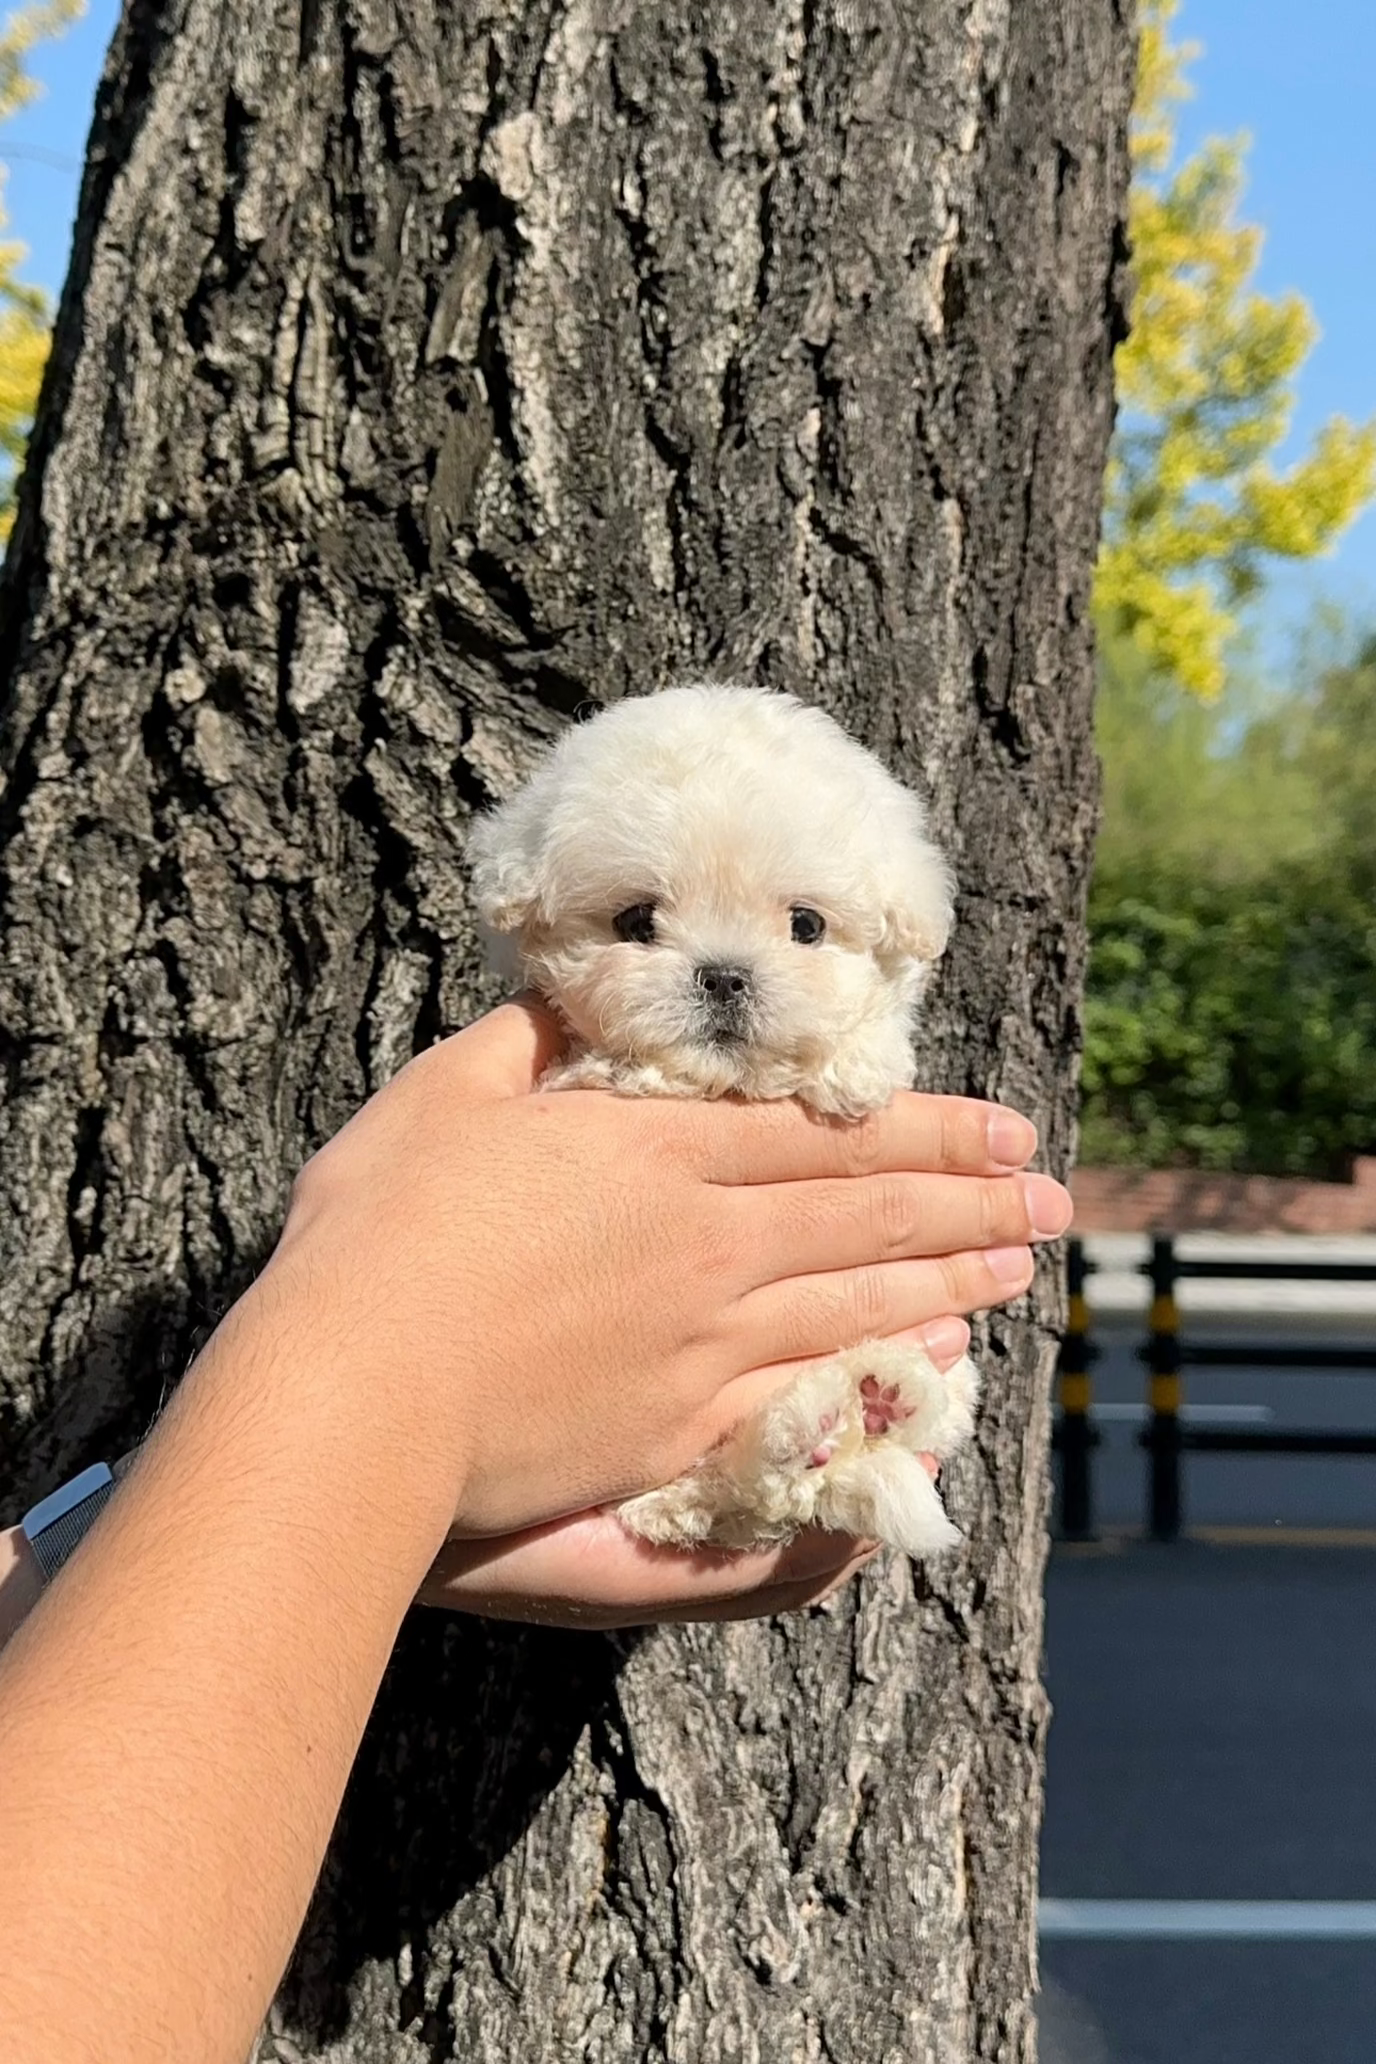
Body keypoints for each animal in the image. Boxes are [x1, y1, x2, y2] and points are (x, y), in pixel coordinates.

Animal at [470, 685, 977, 1552]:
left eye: (806, 925)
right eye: (636, 921)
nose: (724, 976)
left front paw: (855, 1066)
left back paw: (882, 1398)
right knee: (729, 1493)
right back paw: (814, 1424)